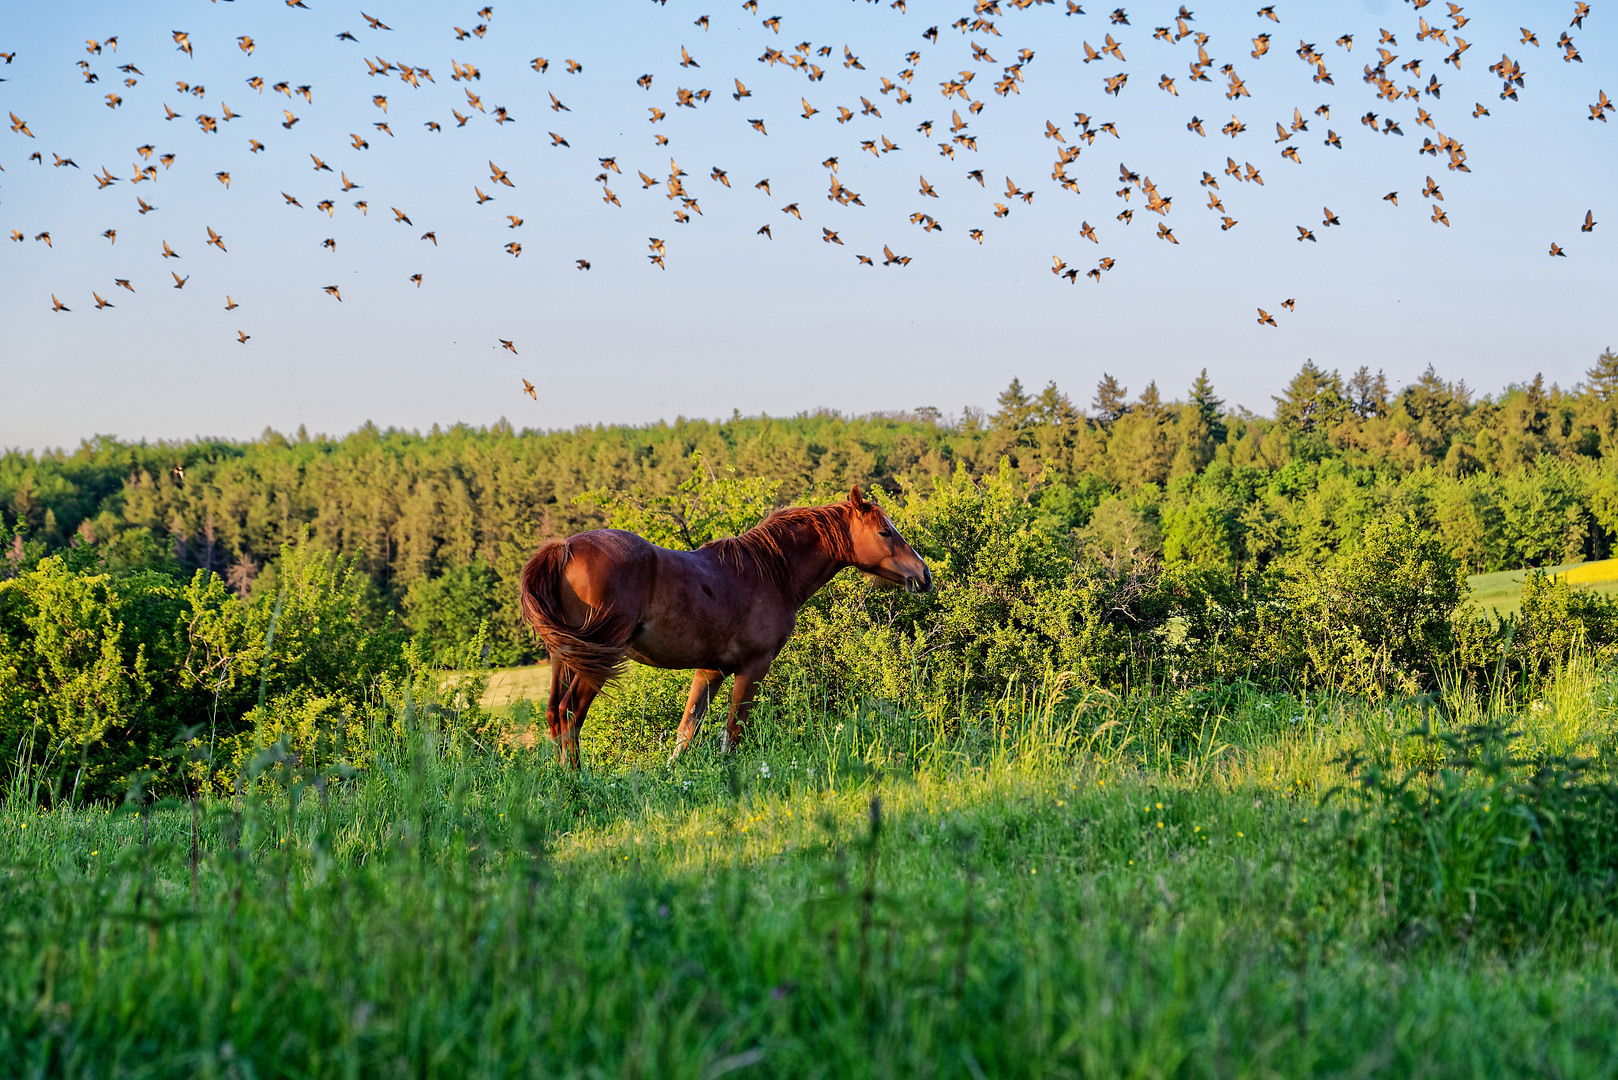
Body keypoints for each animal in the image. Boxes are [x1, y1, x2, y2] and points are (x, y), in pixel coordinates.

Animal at [511, 488, 931, 767]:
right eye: (885, 532)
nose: (924, 575)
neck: (769, 573)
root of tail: (564, 548)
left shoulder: (709, 670)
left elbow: (686, 732)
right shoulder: (753, 668)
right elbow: (733, 731)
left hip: (567, 657)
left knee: (554, 715)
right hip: (595, 661)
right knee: (569, 714)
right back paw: (577, 781)